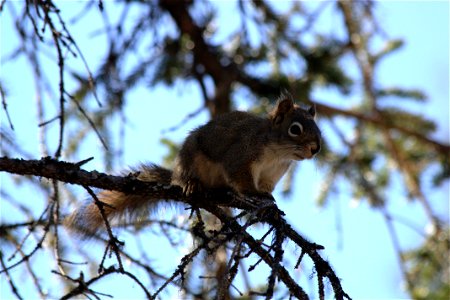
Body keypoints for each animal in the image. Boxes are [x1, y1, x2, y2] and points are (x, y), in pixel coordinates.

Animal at [66, 92, 320, 238]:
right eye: (295, 129)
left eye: (317, 128)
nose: (316, 149)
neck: (278, 154)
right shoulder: (241, 156)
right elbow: (241, 180)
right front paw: (254, 195)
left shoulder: (271, 175)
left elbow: (266, 190)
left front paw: (269, 203)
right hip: (190, 157)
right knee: (186, 177)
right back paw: (191, 184)